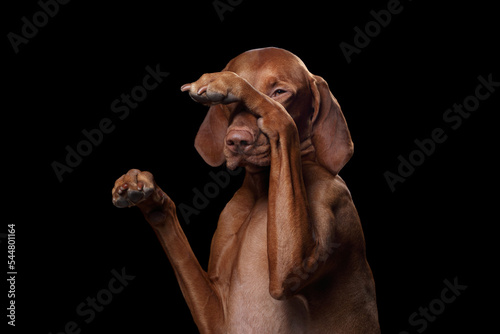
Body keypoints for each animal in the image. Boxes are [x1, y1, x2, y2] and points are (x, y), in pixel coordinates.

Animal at [111, 47, 380, 334]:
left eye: (279, 92)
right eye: (229, 105)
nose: (237, 141)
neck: (262, 192)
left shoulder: (297, 264)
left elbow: (281, 119)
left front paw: (228, 83)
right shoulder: (217, 317)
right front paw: (145, 192)